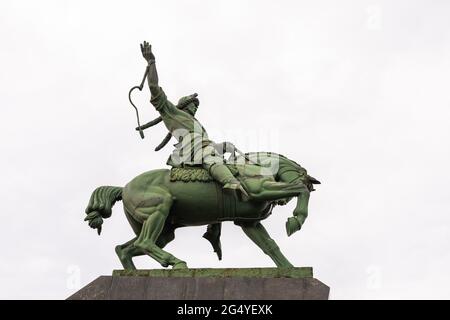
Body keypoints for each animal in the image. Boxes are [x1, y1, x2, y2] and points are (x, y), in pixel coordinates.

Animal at [84, 151, 320, 268]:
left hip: (163, 231)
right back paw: (175, 262)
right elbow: (300, 189)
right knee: (143, 242)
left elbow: (270, 246)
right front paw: (296, 220)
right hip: (158, 209)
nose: (284, 203)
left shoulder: (249, 223)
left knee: (126, 249)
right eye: (307, 182)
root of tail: (123, 188)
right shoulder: (260, 190)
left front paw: (289, 270)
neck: (257, 166)